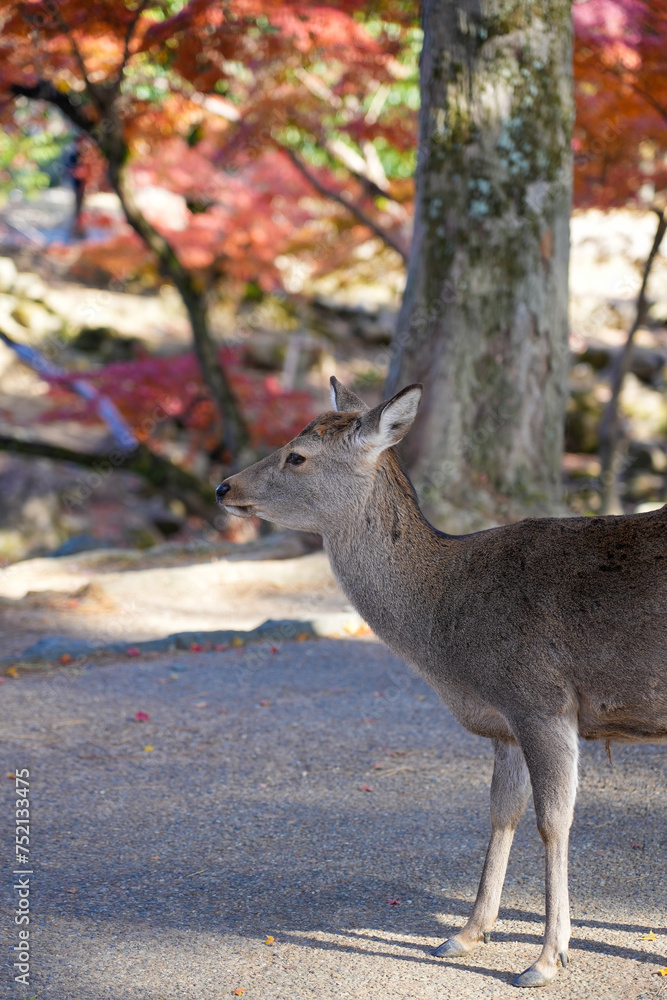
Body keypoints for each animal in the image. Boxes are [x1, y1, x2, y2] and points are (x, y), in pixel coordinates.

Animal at [216, 377, 667, 988]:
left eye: (297, 455)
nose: (223, 486)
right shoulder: (504, 723)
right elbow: (503, 812)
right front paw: (466, 934)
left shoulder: (541, 699)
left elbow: (554, 821)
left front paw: (546, 960)